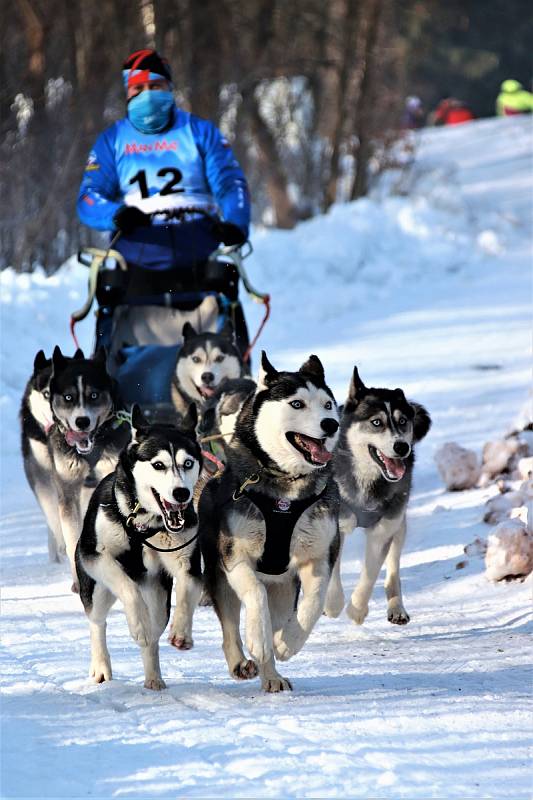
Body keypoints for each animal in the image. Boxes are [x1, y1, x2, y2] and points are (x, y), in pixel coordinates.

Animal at [77, 406, 204, 688]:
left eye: (188, 463)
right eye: (158, 465)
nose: (181, 493)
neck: (144, 524)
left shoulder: (188, 564)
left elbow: (186, 593)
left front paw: (181, 632)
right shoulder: (94, 556)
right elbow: (128, 587)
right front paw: (138, 625)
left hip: (158, 597)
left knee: (154, 635)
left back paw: (153, 677)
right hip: (96, 589)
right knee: (97, 622)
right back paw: (101, 666)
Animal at [200, 354, 340, 692]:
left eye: (328, 404)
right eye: (297, 404)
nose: (331, 424)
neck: (286, 490)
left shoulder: (319, 557)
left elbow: (313, 605)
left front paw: (286, 643)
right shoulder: (235, 557)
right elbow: (255, 595)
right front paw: (260, 640)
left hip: (284, 588)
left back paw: (272, 674)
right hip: (219, 576)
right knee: (230, 627)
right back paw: (243, 660)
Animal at [322, 368, 430, 624]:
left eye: (403, 422)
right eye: (377, 422)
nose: (402, 447)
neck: (368, 482)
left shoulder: (384, 530)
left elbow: (370, 574)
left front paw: (357, 610)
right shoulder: (336, 524)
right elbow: (333, 570)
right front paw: (332, 604)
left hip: (398, 524)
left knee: (393, 569)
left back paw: (396, 606)